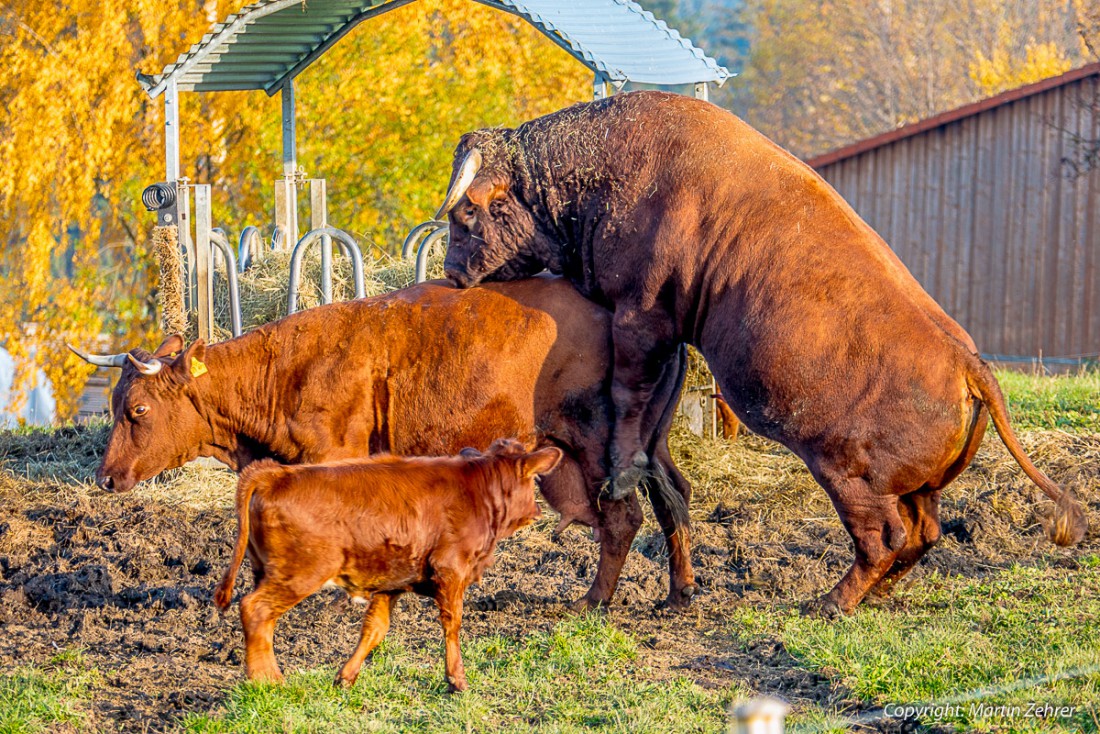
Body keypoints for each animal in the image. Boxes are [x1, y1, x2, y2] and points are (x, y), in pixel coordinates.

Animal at [73, 278, 695, 611]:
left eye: (137, 409)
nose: (105, 477)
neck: (287, 370)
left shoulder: (334, 458)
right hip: (646, 450)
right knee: (674, 500)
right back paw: (678, 593)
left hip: (600, 445)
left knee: (623, 517)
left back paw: (593, 600)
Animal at [213, 440, 563, 691]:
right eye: (533, 479)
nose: (536, 511)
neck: (480, 491)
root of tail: (276, 473)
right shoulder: (450, 571)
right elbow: (452, 624)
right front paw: (457, 680)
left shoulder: (391, 582)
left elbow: (374, 629)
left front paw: (345, 678)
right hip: (299, 574)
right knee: (255, 610)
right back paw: (269, 680)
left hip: (266, 572)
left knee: (263, 620)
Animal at [433, 93, 1086, 620]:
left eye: (466, 213)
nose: (453, 273)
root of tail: (967, 362)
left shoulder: (643, 316)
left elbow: (628, 399)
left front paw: (621, 474)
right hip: (917, 487)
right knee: (922, 536)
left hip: (844, 474)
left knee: (886, 538)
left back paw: (828, 602)